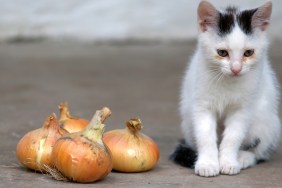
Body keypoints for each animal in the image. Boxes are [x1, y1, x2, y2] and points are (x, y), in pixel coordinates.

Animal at [170, 0, 280, 178]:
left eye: (248, 53)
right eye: (222, 52)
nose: (236, 69)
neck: (227, 81)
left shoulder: (242, 108)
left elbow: (233, 137)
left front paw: (228, 162)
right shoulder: (202, 104)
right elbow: (205, 135)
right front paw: (207, 164)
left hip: (266, 121)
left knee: (260, 150)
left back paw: (243, 157)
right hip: (187, 120)